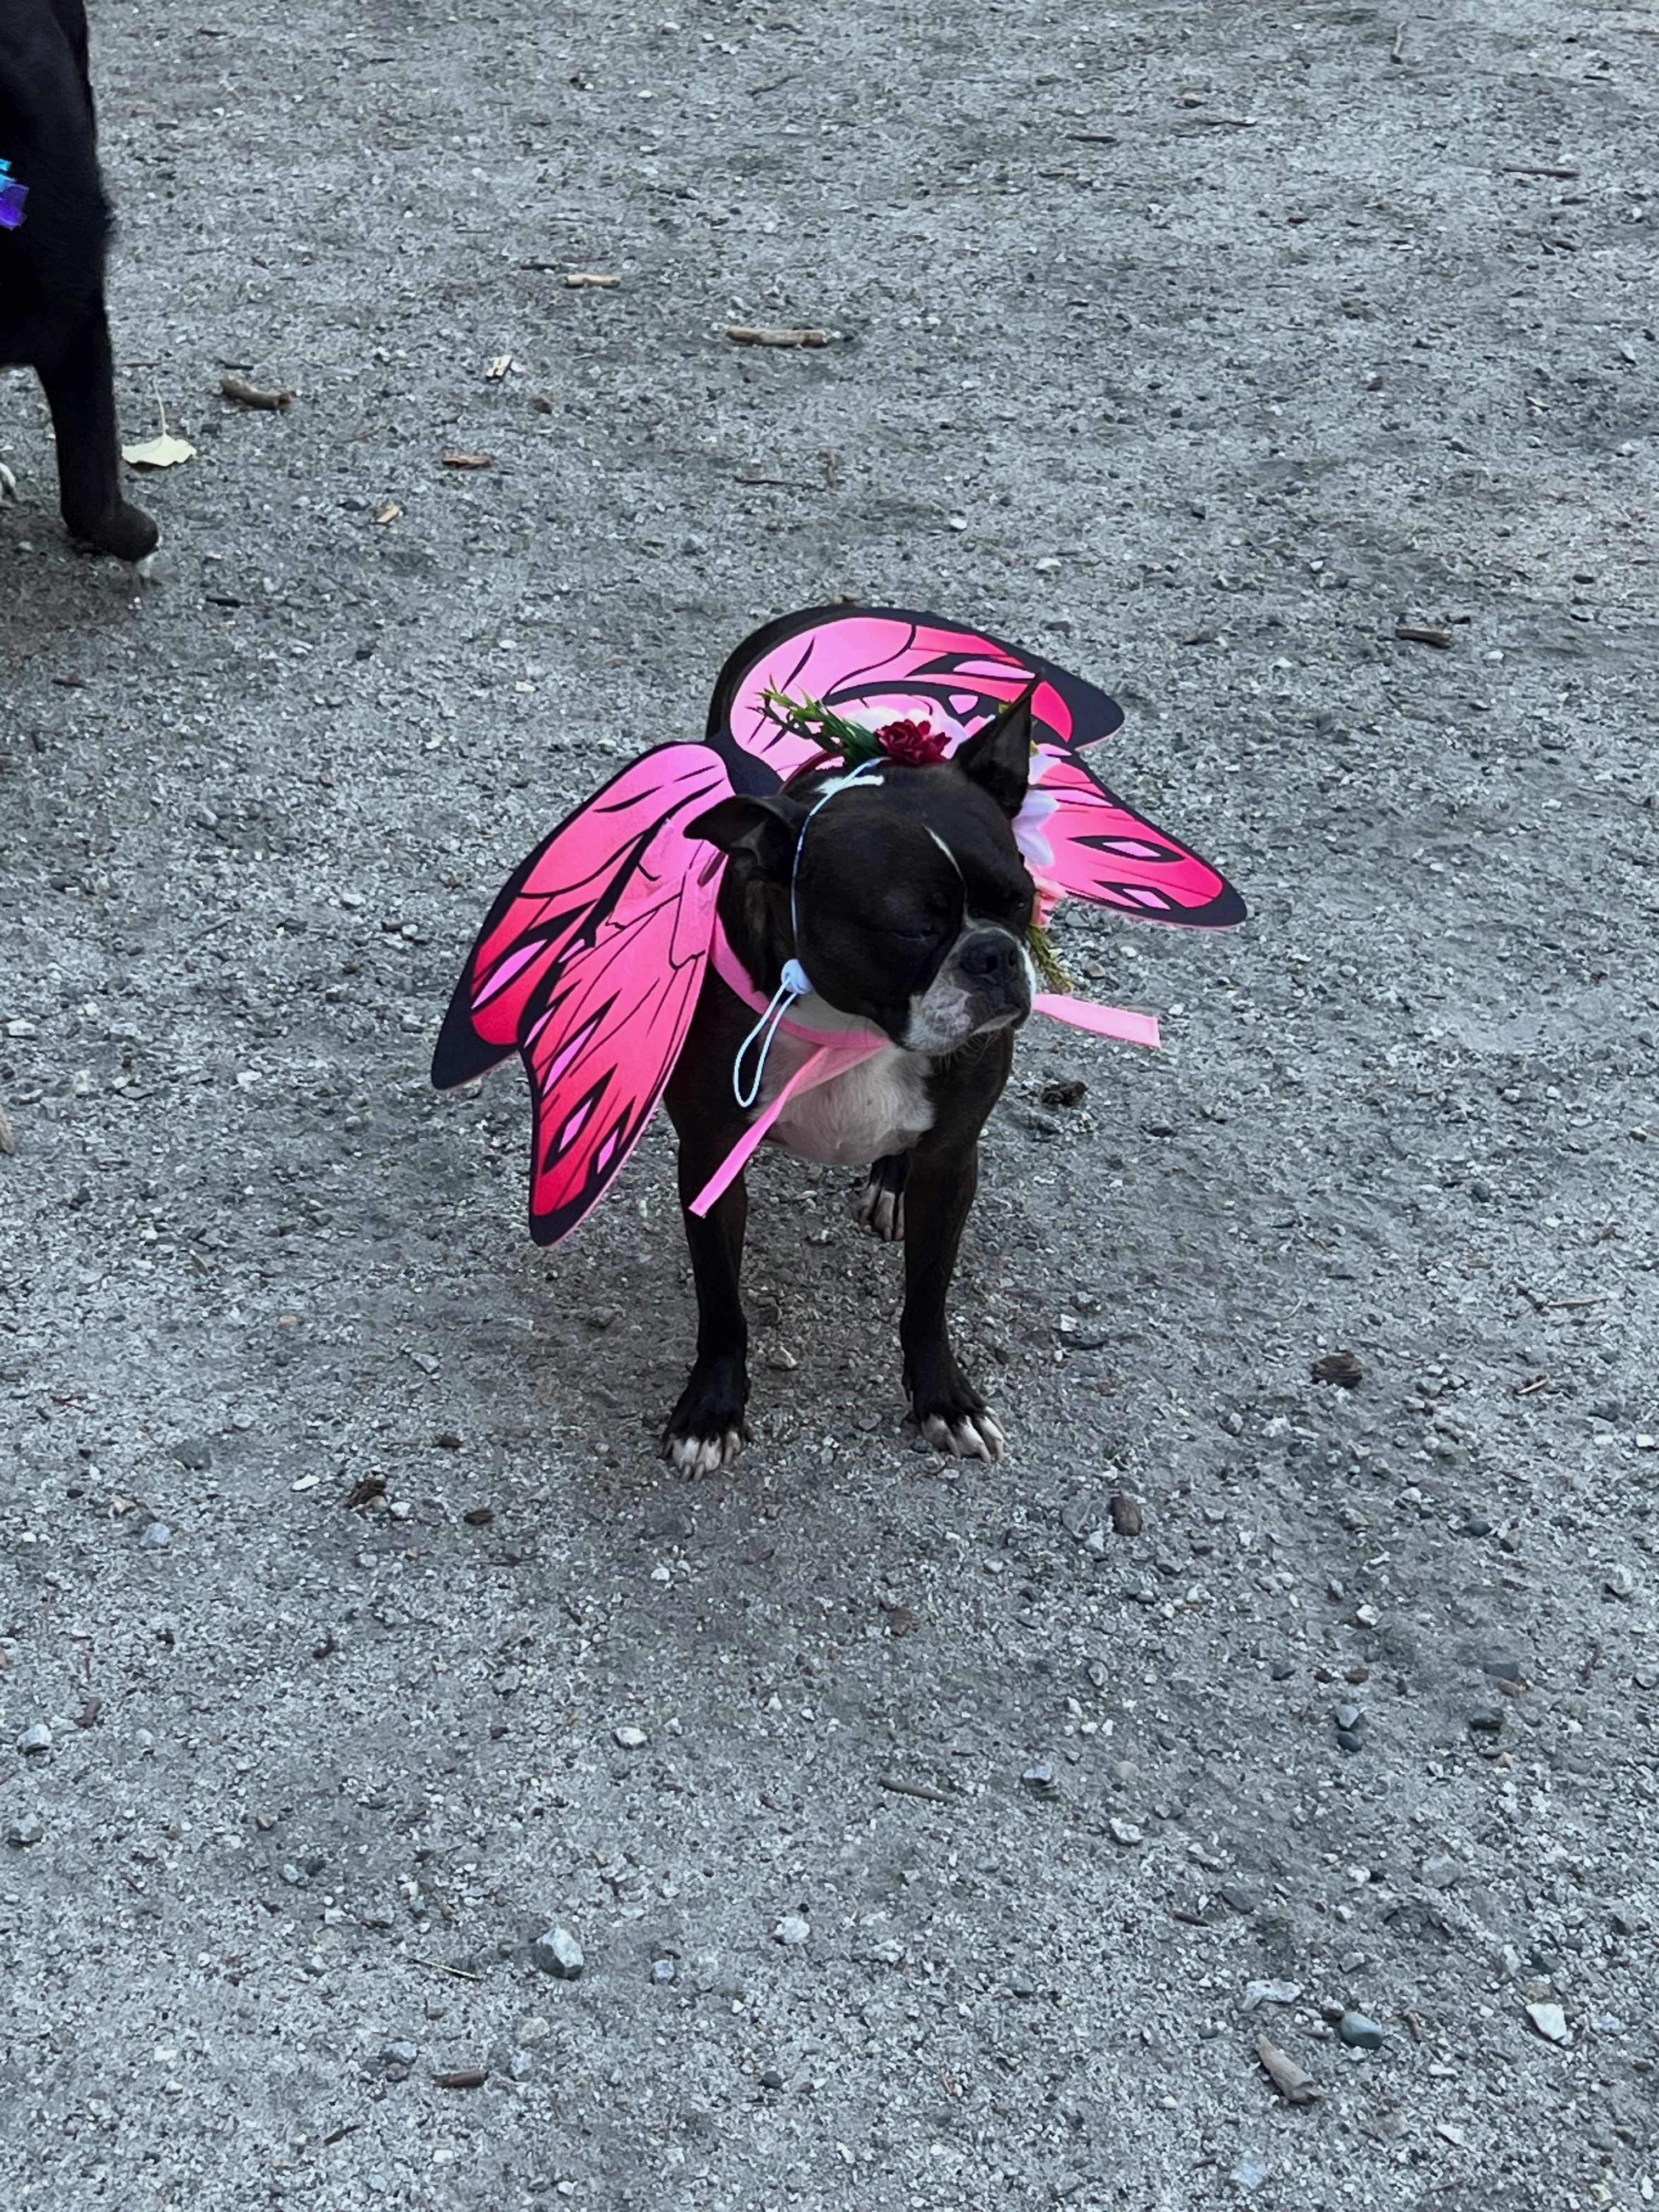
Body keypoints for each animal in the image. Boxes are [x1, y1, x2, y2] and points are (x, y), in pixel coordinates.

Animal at [661, 690, 1040, 1474]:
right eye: (911, 930)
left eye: (1020, 899)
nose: (993, 955)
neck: (854, 1028)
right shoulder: (711, 1161)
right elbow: (722, 1304)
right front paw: (712, 1410)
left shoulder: (953, 1160)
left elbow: (928, 1297)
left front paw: (945, 1399)